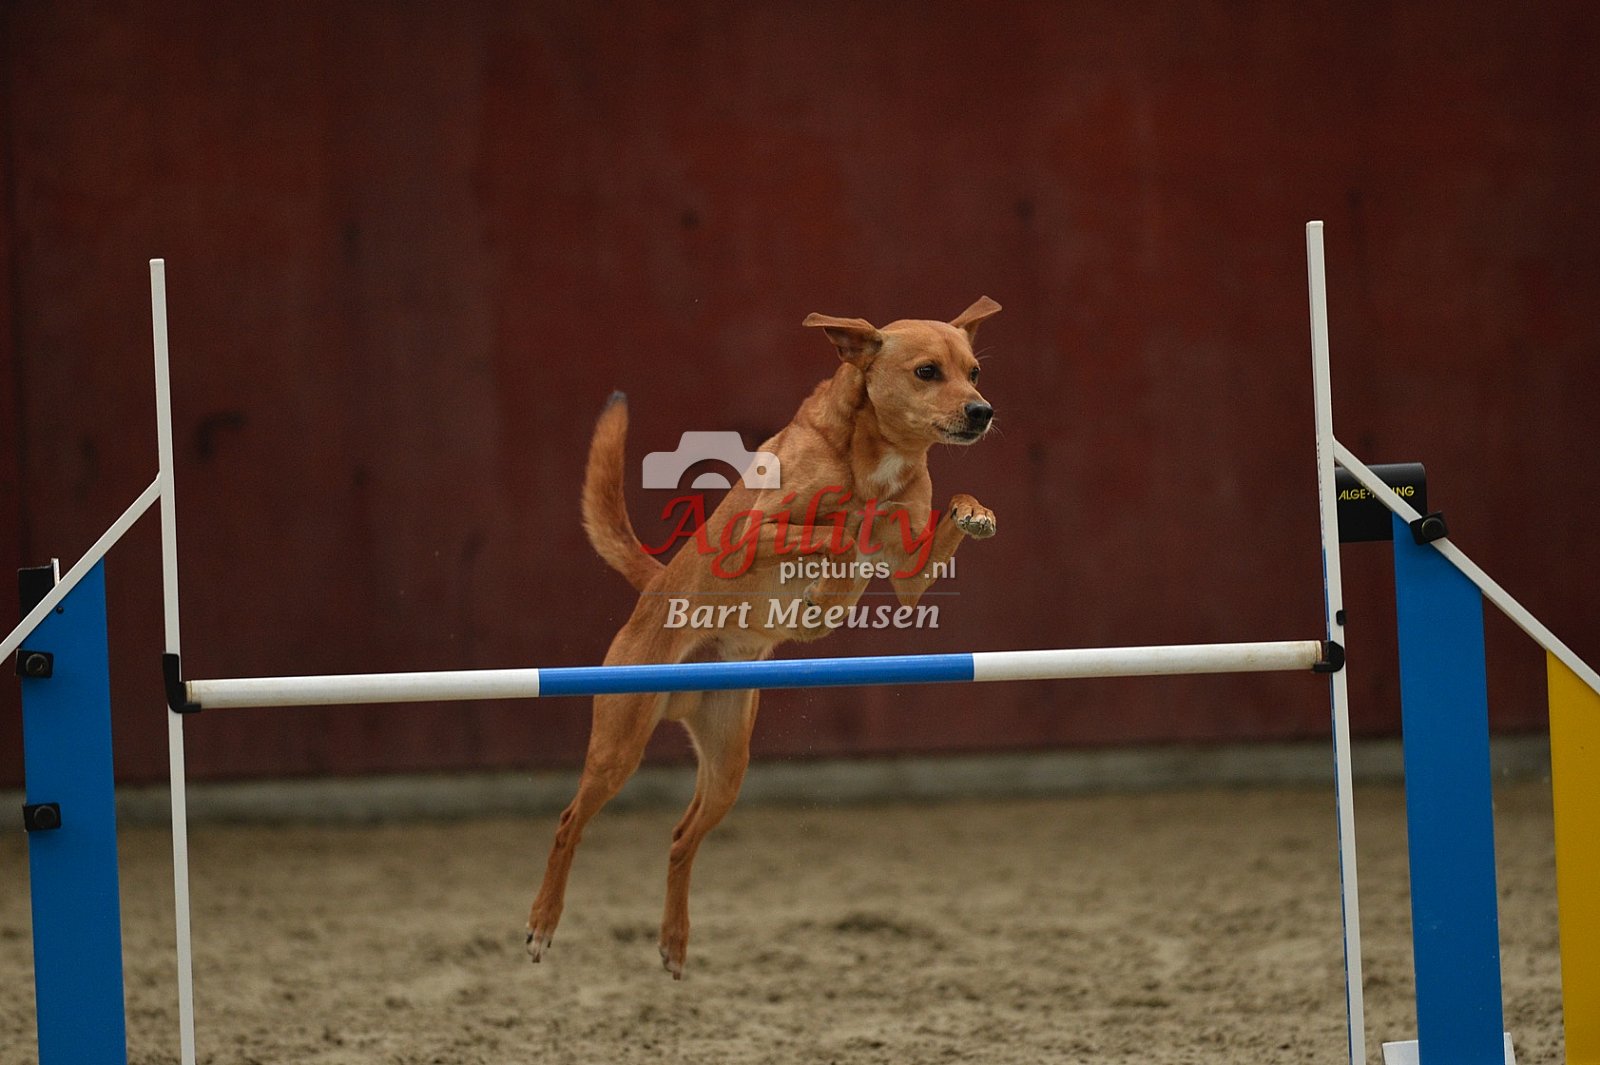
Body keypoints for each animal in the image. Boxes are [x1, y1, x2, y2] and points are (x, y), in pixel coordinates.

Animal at [526, 297, 1001, 978]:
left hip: (729, 763)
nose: (983, 411)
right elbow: (831, 531)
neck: (874, 454)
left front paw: (974, 512)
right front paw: (833, 565)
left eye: (975, 371)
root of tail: (653, 586)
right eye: (927, 372)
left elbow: (925, 523)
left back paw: (674, 940)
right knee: (569, 823)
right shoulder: (749, 536)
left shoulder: (910, 574)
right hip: (619, 746)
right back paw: (543, 921)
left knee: (682, 839)